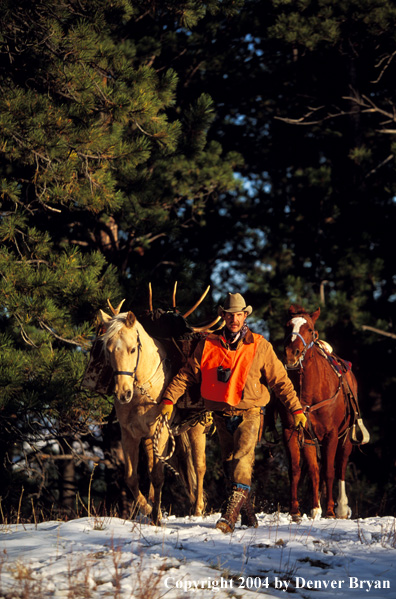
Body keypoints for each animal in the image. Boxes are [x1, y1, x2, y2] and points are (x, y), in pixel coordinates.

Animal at [98, 310, 207, 524]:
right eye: (108, 350)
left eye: (133, 349)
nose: (123, 393)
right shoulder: (129, 435)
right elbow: (131, 477)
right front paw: (148, 509)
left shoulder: (161, 430)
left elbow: (157, 476)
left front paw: (156, 516)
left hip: (196, 428)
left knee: (199, 466)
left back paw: (198, 509)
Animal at [280, 304, 360, 520]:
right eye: (287, 326)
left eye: (310, 329)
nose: (291, 353)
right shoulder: (295, 432)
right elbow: (300, 469)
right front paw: (298, 510)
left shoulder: (331, 434)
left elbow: (330, 471)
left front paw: (331, 510)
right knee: (317, 469)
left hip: (346, 438)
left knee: (340, 467)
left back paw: (341, 508)